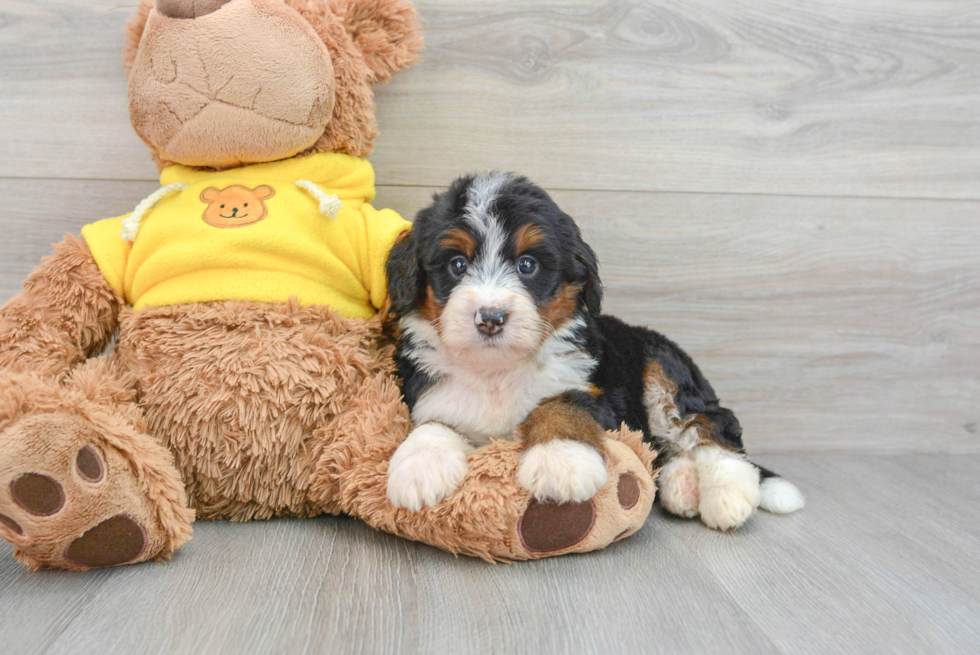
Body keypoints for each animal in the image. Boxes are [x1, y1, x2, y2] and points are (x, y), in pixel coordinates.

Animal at [382, 172, 804, 532]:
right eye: (457, 264)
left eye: (527, 265)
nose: (490, 318)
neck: (497, 372)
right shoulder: (431, 392)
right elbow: (436, 422)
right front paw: (419, 467)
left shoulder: (595, 391)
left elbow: (561, 405)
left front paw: (561, 460)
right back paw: (681, 484)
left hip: (661, 367)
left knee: (708, 424)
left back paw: (728, 492)